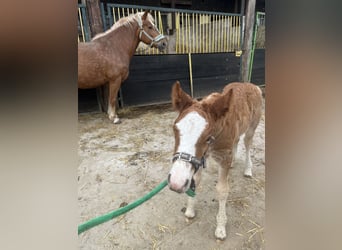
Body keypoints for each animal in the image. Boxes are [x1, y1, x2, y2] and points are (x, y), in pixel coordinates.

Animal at [168, 81, 262, 240]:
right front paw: (190, 210)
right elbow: (196, 180)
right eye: (175, 129)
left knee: (248, 144)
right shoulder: (200, 158)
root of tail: (252, 85)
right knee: (237, 141)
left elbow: (222, 190)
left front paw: (220, 227)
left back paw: (248, 169)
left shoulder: (223, 158)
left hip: (252, 127)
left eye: (207, 137)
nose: (176, 183)